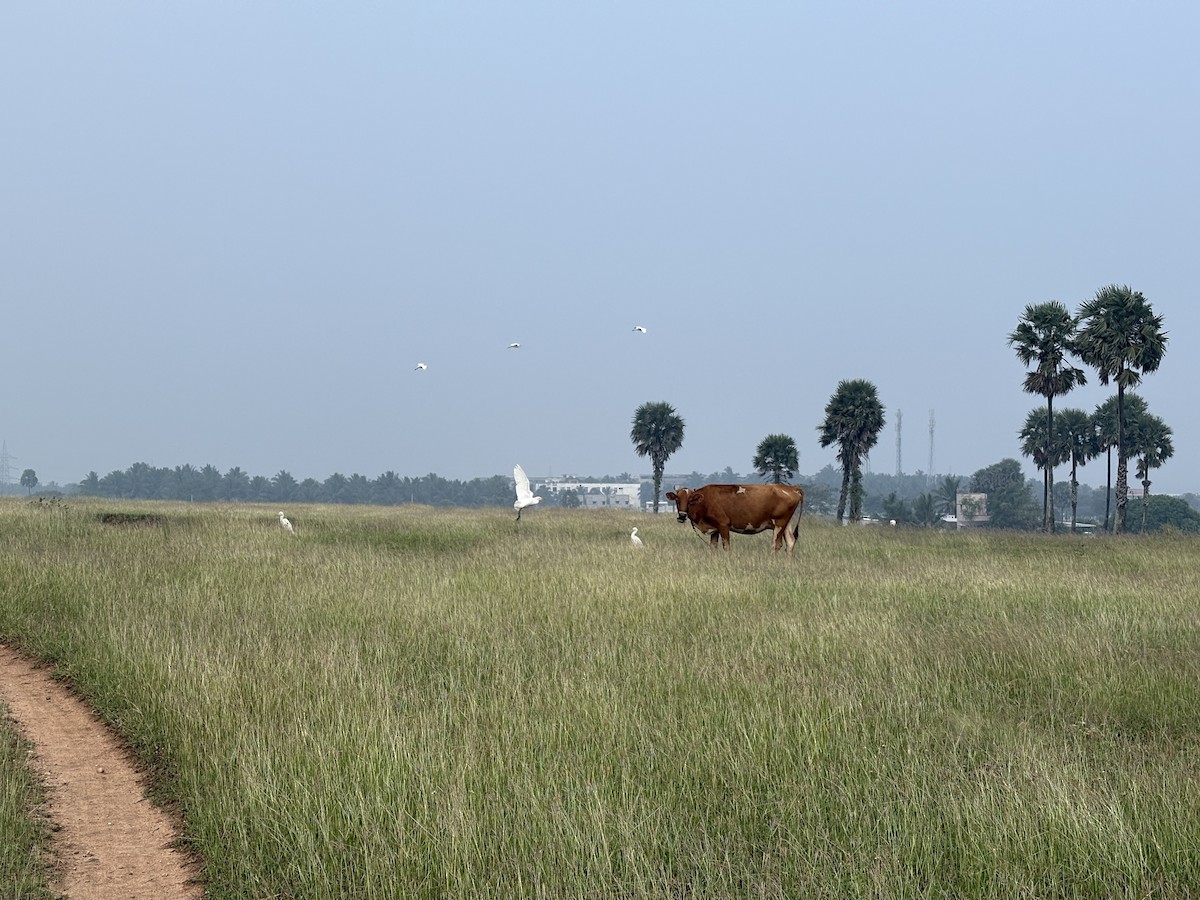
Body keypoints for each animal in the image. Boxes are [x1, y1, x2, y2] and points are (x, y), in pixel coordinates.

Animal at [665, 484, 805, 553]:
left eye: (690, 500)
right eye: (677, 499)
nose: (682, 516)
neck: (705, 501)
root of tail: (792, 488)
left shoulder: (723, 525)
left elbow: (727, 546)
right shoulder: (714, 529)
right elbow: (713, 547)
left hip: (779, 522)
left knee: (776, 544)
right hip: (786, 523)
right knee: (790, 542)